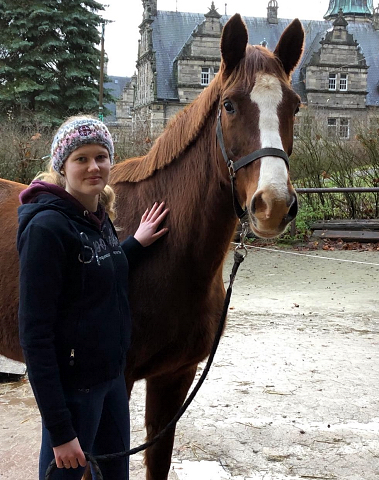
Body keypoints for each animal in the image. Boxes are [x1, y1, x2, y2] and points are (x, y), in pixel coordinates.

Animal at [0, 13, 304, 480]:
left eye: (295, 106)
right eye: (230, 105)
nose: (272, 205)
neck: (173, 256)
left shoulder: (174, 378)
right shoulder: (115, 385)